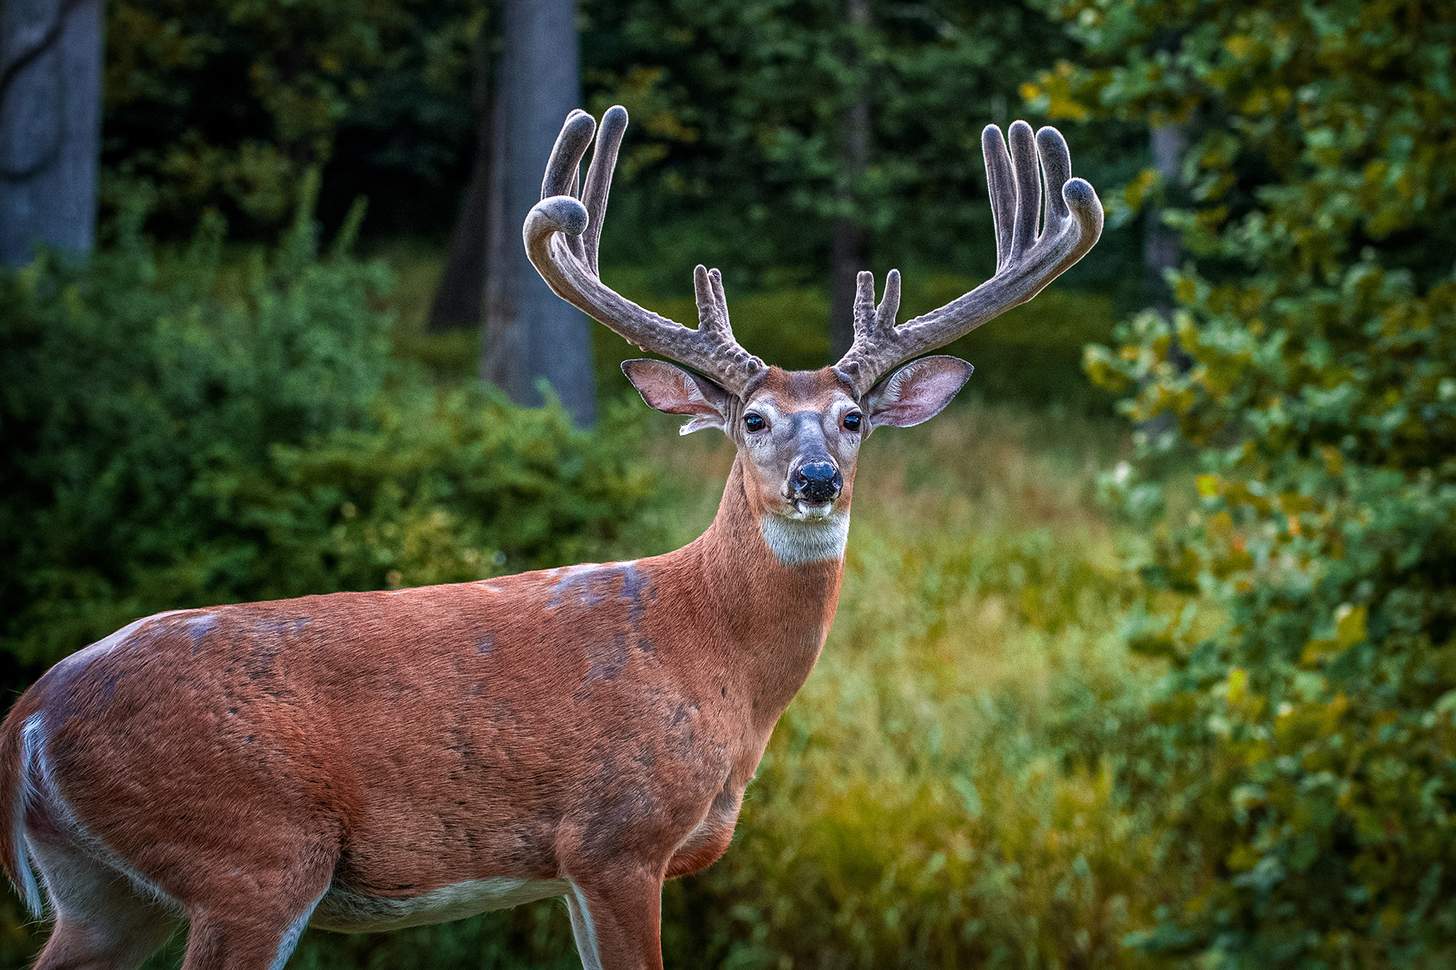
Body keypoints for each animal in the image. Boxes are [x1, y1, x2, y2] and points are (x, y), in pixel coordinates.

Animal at [0, 105, 1101, 970]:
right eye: (752, 419)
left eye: (854, 418)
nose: (816, 481)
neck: (715, 658)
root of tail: (30, 719)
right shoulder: (615, 837)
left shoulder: (571, 868)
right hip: (254, 855)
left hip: (109, 893)